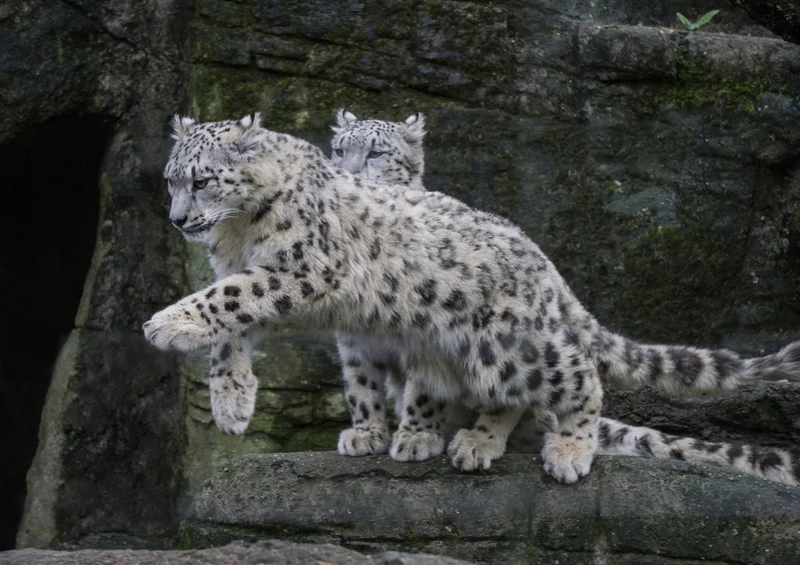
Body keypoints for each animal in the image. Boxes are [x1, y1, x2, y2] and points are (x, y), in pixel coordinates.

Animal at [145, 113, 800, 484]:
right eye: (171, 179)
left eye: (201, 179)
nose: (176, 220)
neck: (238, 233)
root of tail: (550, 274)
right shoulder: (265, 279)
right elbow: (231, 325)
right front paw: (232, 403)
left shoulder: (301, 268)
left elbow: (228, 298)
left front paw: (165, 324)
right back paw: (476, 441)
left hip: (508, 348)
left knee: (579, 380)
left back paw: (564, 450)